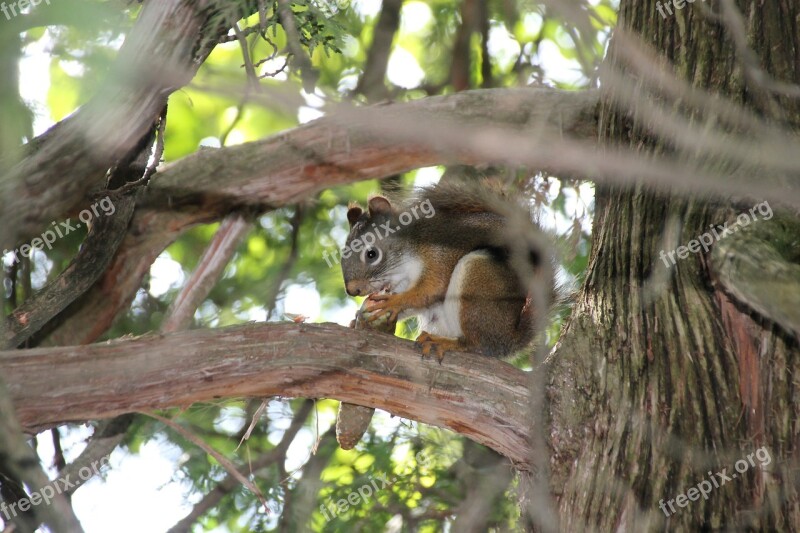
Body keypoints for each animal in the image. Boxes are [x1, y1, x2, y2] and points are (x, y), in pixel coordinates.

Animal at [338, 181, 552, 360]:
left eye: (371, 254)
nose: (352, 290)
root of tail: (510, 338)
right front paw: (358, 320)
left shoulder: (439, 255)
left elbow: (432, 288)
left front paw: (394, 302)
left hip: (478, 279)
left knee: (476, 345)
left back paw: (444, 342)